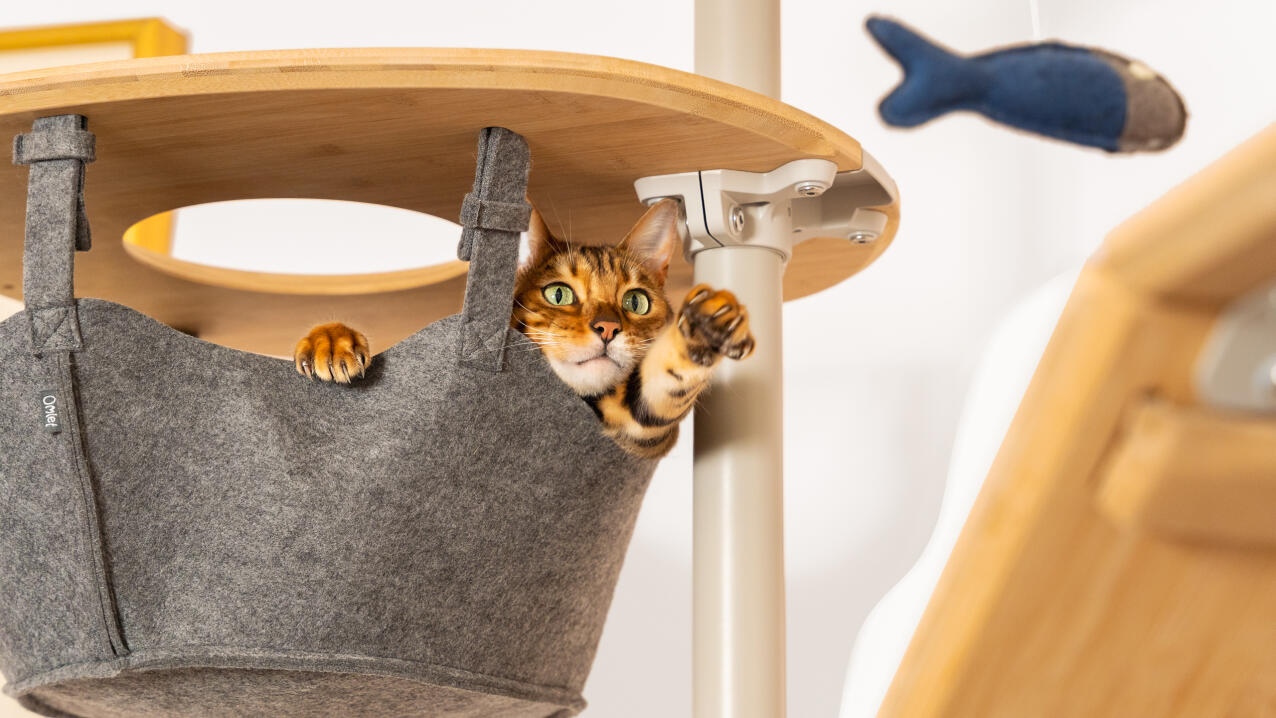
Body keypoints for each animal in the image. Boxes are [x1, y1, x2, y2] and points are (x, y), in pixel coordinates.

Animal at [293, 198, 750, 459]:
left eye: (635, 302)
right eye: (559, 294)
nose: (607, 328)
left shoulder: (643, 431)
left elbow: (663, 384)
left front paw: (705, 325)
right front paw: (330, 340)